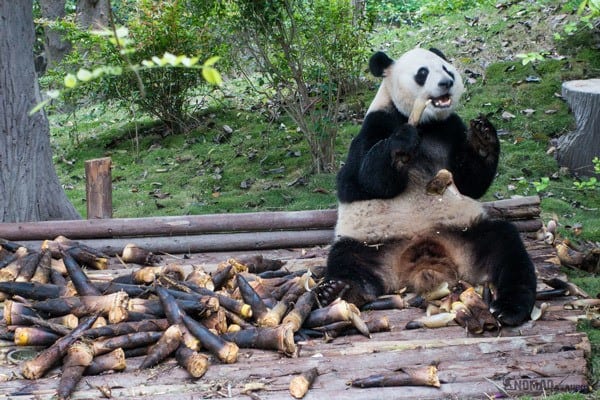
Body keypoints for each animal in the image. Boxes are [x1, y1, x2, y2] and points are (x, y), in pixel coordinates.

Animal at [316, 48, 536, 326]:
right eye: (422, 73)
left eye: (446, 69)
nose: (447, 83)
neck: (426, 123)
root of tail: (423, 260)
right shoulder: (377, 124)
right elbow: (363, 180)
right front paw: (402, 143)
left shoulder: (451, 128)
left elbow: (470, 183)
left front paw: (483, 136)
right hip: (371, 244)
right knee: (348, 261)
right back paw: (339, 290)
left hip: (467, 234)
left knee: (507, 248)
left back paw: (509, 308)